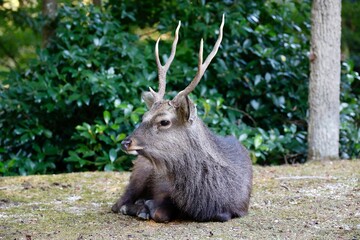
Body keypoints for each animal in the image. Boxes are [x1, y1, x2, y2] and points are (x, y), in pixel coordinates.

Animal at [111, 14, 252, 222]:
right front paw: (146, 207)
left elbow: (223, 215)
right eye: (144, 116)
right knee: (118, 204)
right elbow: (159, 212)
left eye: (164, 121)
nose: (126, 142)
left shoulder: (241, 207)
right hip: (140, 171)